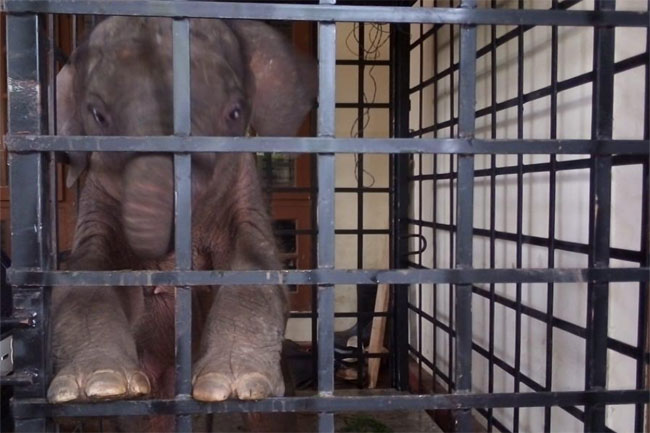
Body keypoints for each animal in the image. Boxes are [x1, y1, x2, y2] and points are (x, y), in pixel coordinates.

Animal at [49, 16, 316, 430]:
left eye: (234, 113)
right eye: (97, 115)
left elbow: (253, 267)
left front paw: (233, 385)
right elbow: (87, 269)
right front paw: (99, 386)